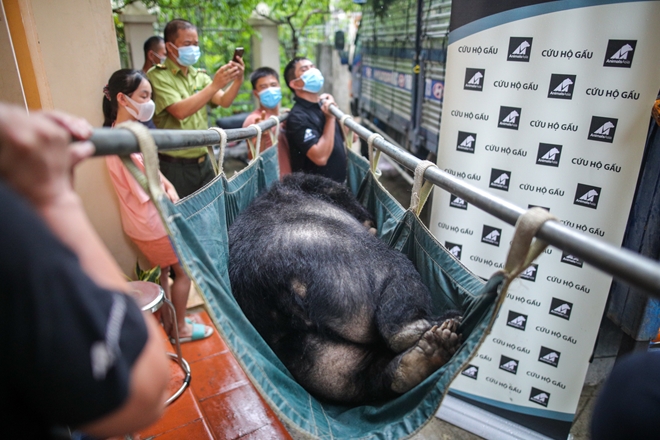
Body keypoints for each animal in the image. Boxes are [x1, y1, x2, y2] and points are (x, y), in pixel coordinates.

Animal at [229, 173, 462, 406]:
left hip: (307, 348)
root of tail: (289, 286)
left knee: (348, 377)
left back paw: (421, 360)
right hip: (349, 277)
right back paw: (433, 326)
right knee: (398, 276)